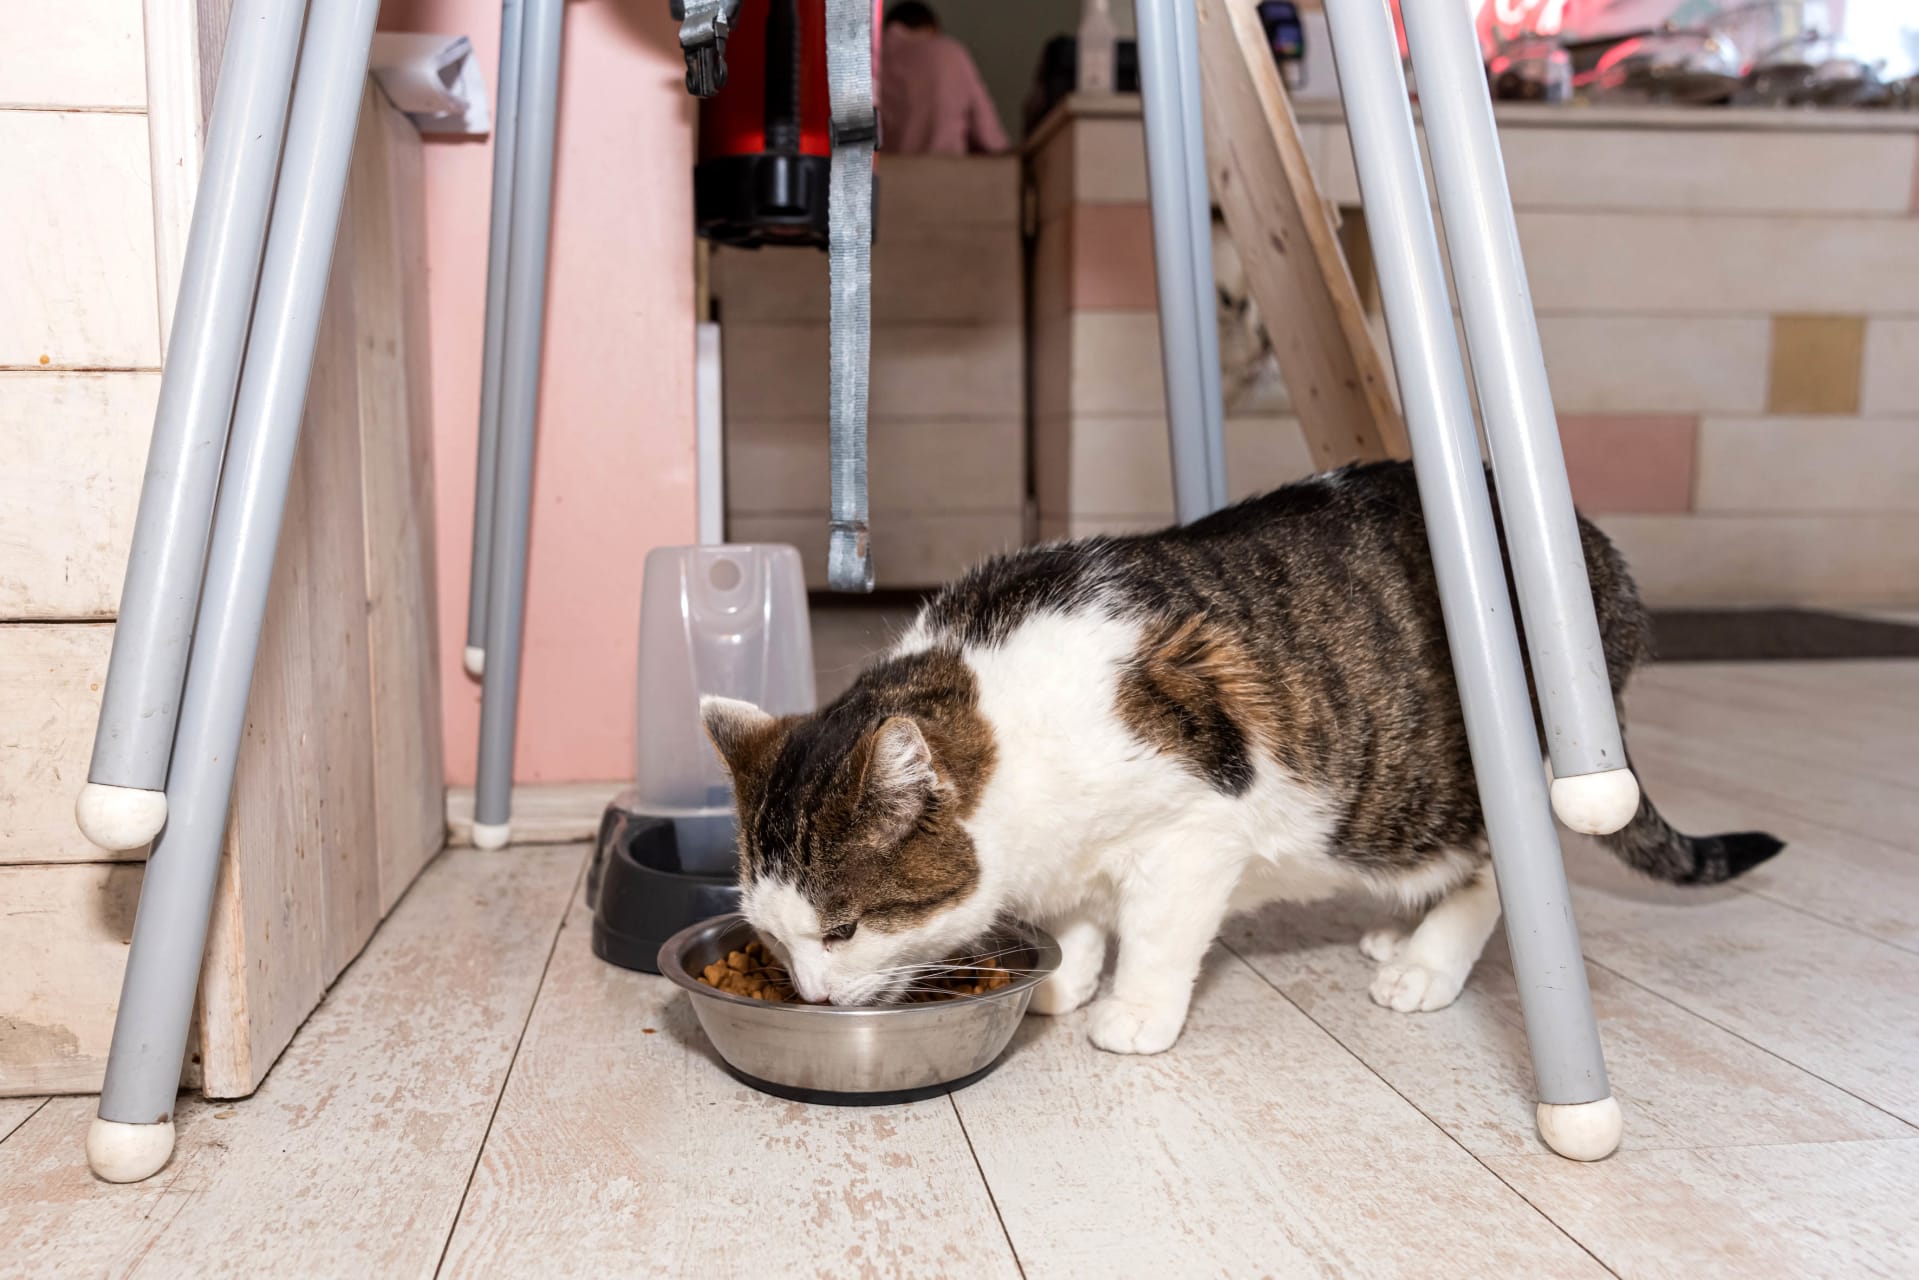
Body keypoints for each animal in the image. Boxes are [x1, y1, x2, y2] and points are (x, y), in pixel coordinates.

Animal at [700, 461, 1783, 1054]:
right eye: (773, 937)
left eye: (842, 929)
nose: (809, 993)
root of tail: (1593, 553)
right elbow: (1078, 916)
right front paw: (1062, 973)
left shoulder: (1192, 832)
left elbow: (1156, 932)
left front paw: (1130, 1009)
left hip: (1488, 771)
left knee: (1503, 866)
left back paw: (1424, 963)